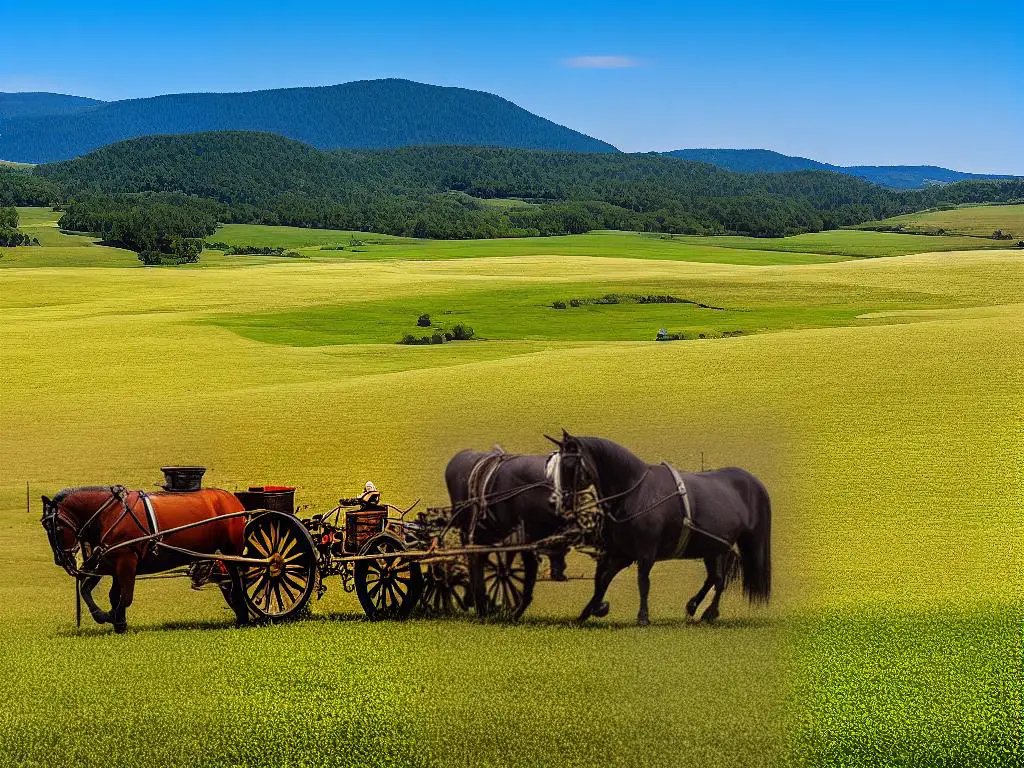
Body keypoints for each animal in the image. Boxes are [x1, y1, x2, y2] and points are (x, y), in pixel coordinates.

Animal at [43, 487, 251, 630]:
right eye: (45, 526)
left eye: (58, 528)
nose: (61, 560)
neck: (109, 514)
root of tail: (233, 499)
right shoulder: (108, 563)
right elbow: (92, 590)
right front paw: (105, 615)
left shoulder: (126, 562)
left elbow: (125, 596)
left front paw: (117, 620)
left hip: (232, 553)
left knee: (238, 581)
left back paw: (243, 616)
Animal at [548, 434, 770, 626]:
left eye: (570, 465)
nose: (562, 501)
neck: (637, 493)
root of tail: (754, 483)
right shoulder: (622, 554)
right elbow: (603, 580)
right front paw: (590, 610)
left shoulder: (645, 552)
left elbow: (642, 582)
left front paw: (642, 617)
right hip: (714, 549)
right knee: (715, 578)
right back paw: (694, 606)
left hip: (720, 547)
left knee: (719, 580)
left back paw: (709, 612)